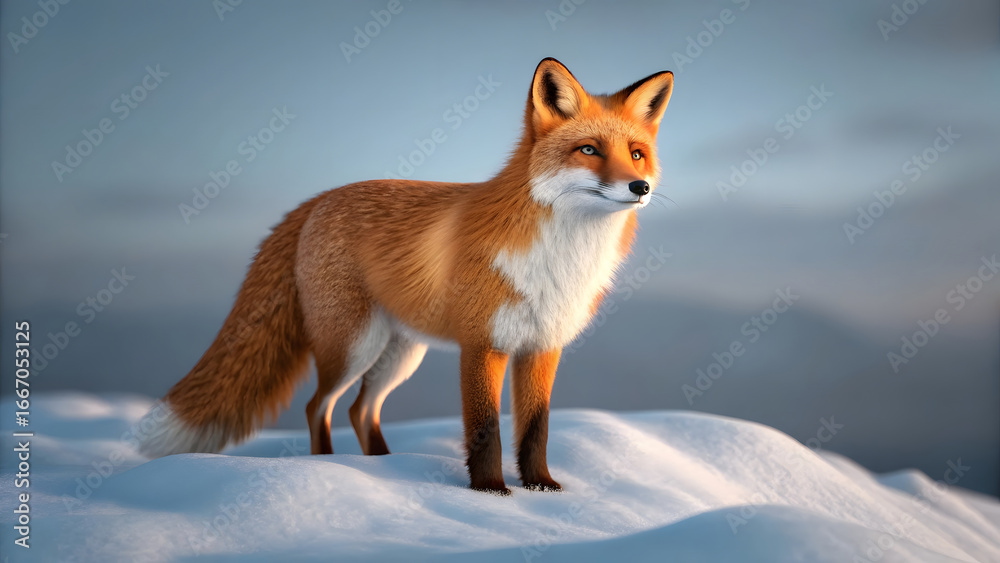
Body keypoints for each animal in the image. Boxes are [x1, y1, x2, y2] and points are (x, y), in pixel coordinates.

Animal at [138, 58, 674, 494]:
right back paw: (326, 465)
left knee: (359, 410)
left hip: (399, 354)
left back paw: (383, 465)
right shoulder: (482, 344)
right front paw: (491, 492)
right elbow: (485, 428)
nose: (640, 187)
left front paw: (542, 487)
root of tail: (318, 199)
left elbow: (535, 429)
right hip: (352, 346)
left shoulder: (542, 347)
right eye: (589, 150)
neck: (560, 259)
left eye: (637, 153)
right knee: (318, 405)